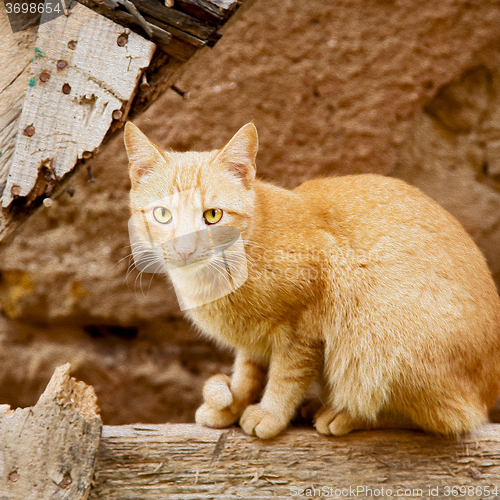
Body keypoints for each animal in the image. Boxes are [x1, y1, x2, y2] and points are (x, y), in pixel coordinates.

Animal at [124, 121, 500, 438]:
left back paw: (343, 414)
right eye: (163, 214)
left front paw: (270, 414)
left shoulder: (304, 327)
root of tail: (489, 391)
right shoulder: (253, 340)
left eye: (212, 215)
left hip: (380, 340)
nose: (185, 248)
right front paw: (232, 406)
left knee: (446, 418)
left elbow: (286, 376)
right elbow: (247, 373)